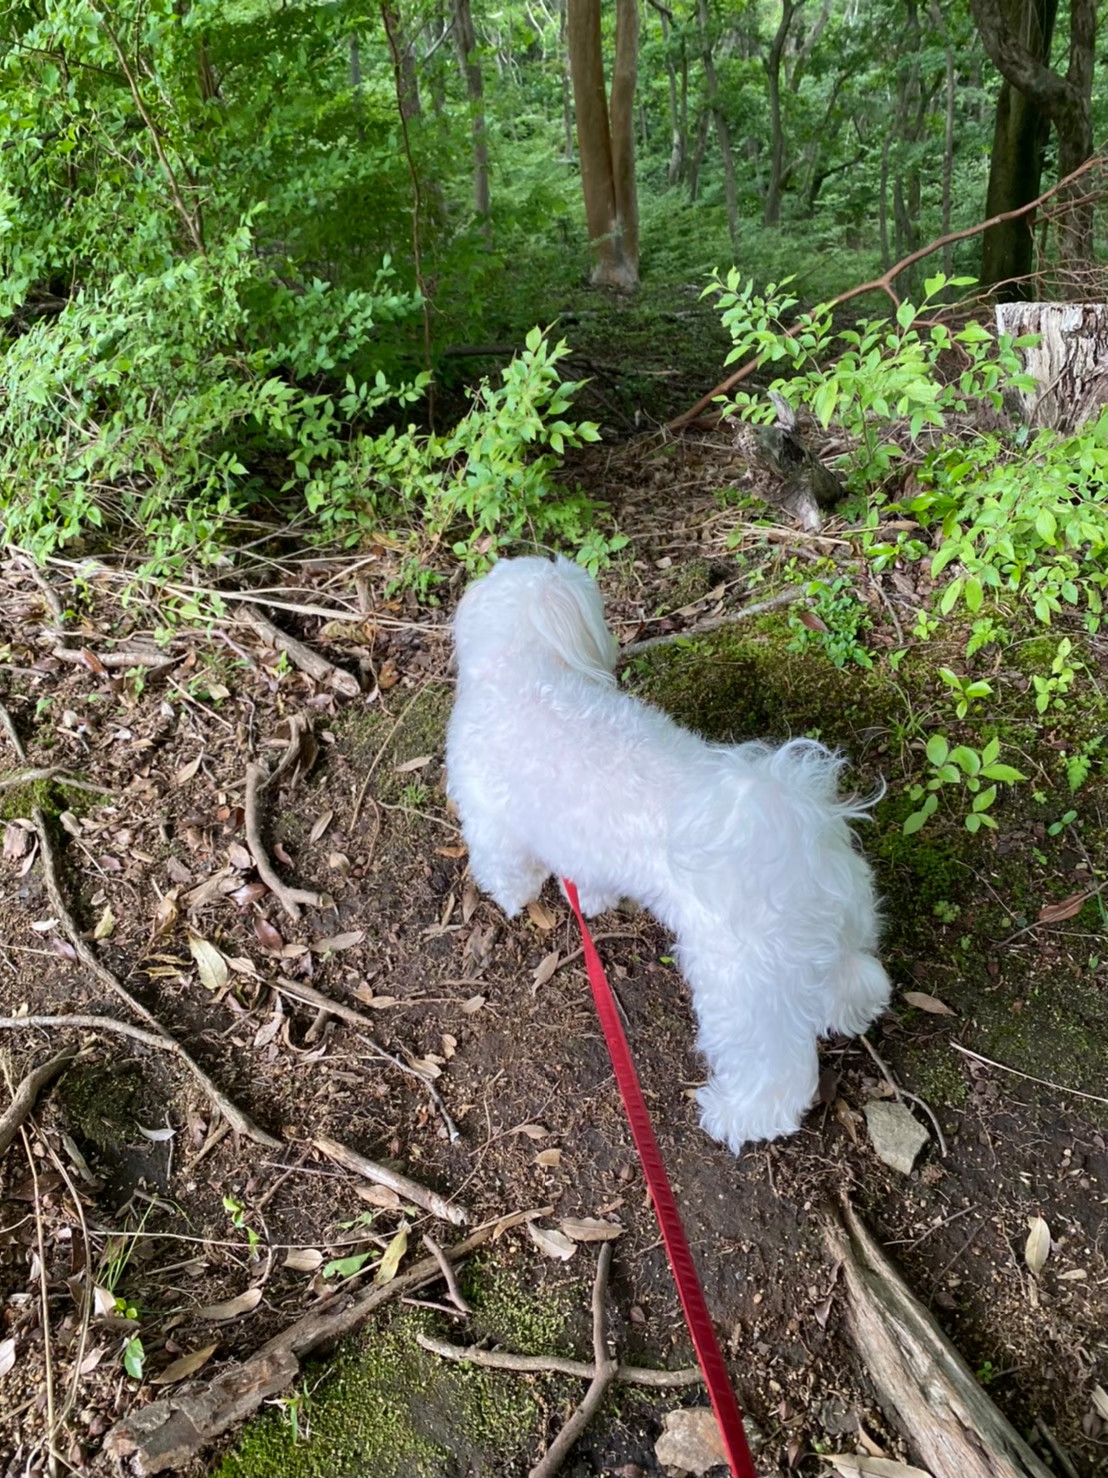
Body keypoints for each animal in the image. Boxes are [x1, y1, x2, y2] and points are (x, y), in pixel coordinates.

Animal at [446, 555, 892, 1152]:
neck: (525, 666)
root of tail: (797, 839)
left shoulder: (490, 818)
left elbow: (506, 864)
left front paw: (511, 898)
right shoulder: (584, 845)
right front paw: (593, 903)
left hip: (741, 990)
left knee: (773, 1072)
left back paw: (735, 1117)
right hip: (837, 935)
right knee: (854, 977)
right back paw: (853, 1012)